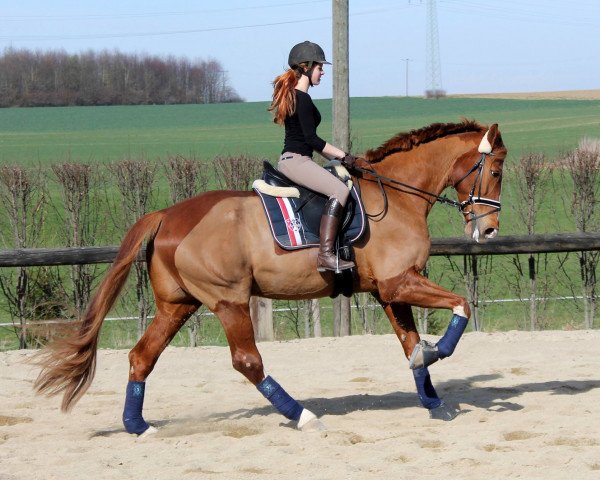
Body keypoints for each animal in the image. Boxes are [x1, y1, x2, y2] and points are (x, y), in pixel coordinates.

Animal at [34, 119, 506, 436]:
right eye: (497, 170)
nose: (488, 231)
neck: (398, 195)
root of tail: (167, 214)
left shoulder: (389, 290)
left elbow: (410, 344)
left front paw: (433, 397)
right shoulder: (397, 283)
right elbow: (462, 304)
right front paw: (437, 352)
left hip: (177, 304)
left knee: (141, 356)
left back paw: (138, 425)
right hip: (228, 301)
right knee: (247, 361)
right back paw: (301, 415)